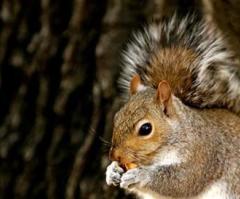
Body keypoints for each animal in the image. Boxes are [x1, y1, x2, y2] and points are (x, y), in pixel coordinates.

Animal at [105, 13, 240, 198]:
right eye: (116, 117)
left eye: (145, 129)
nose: (114, 156)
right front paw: (111, 171)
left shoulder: (202, 155)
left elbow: (181, 182)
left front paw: (142, 176)